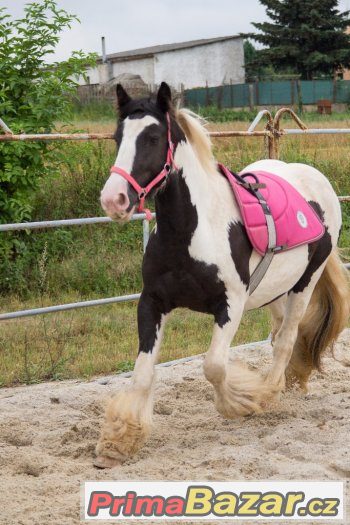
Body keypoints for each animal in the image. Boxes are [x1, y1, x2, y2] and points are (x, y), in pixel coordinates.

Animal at [95, 82, 348, 466]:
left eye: (153, 137)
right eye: (117, 136)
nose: (114, 200)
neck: (191, 231)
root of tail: (315, 180)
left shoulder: (230, 305)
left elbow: (213, 366)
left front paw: (244, 401)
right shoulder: (151, 302)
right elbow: (142, 374)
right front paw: (121, 440)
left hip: (305, 283)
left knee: (287, 339)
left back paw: (270, 391)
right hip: (274, 290)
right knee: (280, 333)